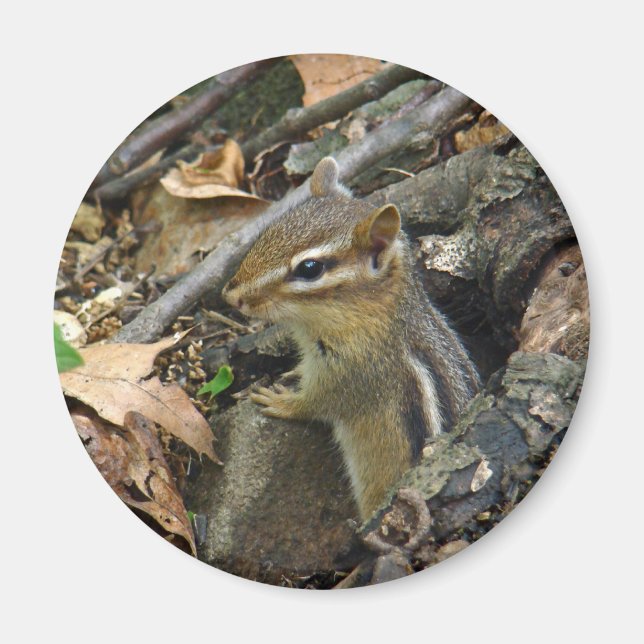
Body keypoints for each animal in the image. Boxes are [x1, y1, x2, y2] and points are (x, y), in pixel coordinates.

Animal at [222, 157, 479, 521]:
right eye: (270, 232)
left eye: (310, 268)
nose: (231, 297)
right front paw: (293, 373)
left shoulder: (356, 372)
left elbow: (319, 403)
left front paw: (281, 401)